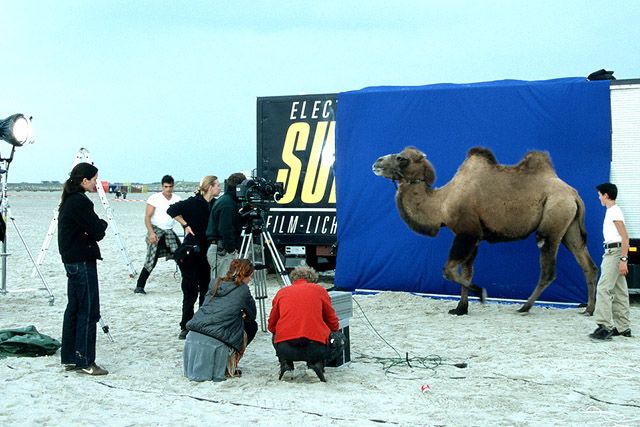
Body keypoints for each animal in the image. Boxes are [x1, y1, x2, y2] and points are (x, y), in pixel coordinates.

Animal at [370, 145, 600, 316]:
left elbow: (450, 270)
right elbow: (467, 270)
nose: (377, 162)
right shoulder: (474, 237)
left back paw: (524, 307)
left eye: (402, 159)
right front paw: (460, 308)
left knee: (548, 269)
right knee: (588, 264)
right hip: (569, 227)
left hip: (553, 218)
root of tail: (574, 194)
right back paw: (589, 309)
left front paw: (480, 294)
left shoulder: (467, 233)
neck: (441, 203)